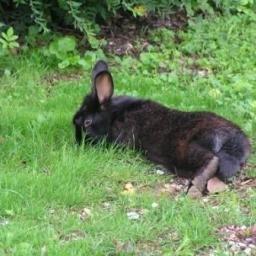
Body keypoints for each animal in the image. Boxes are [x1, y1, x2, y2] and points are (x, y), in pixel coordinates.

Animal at [73, 60, 251, 196]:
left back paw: (193, 189)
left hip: (186, 148)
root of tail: (235, 141)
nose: (78, 142)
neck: (113, 116)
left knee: (211, 160)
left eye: (87, 123)